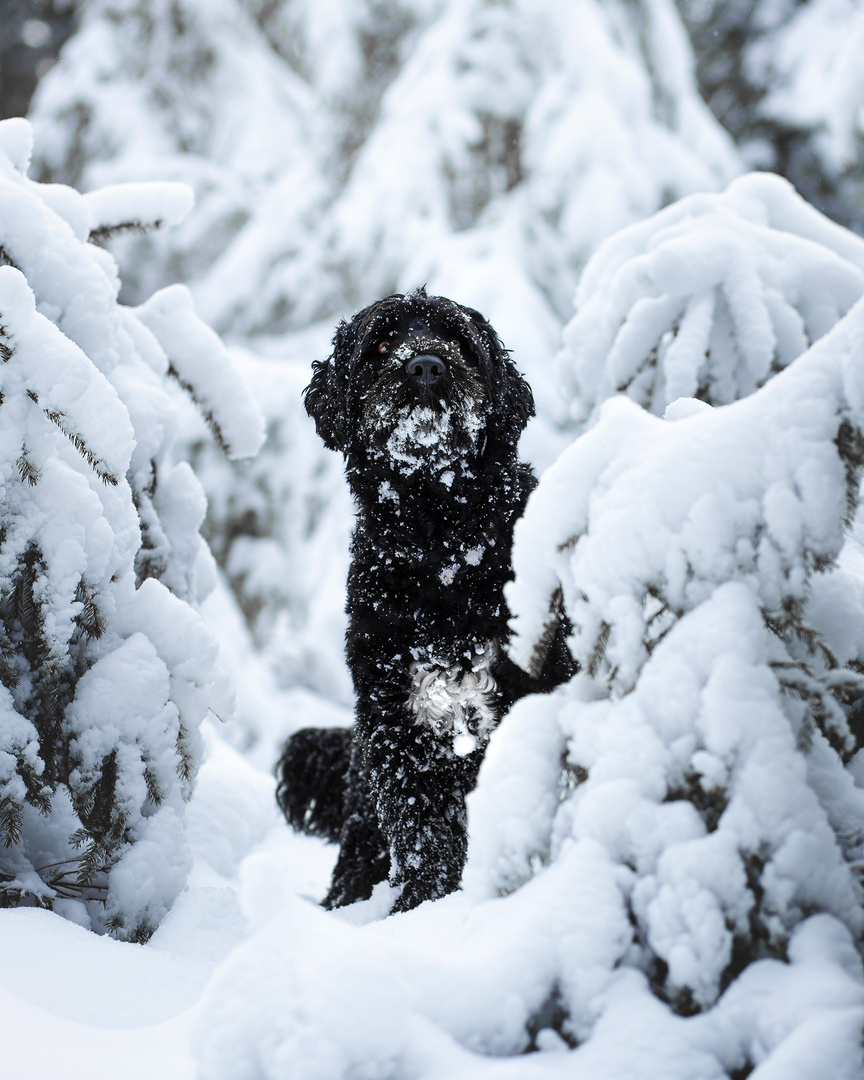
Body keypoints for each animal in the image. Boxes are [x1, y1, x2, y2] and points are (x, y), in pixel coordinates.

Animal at [276, 289, 574, 911]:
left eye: (459, 339)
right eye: (383, 341)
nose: (426, 367)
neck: (442, 539)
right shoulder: (399, 723)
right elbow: (426, 833)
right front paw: (423, 910)